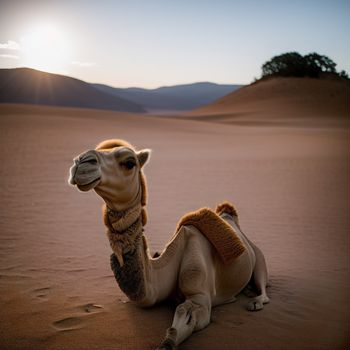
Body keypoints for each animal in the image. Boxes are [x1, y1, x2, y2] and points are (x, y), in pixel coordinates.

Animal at [69, 139, 270, 348]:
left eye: (129, 162)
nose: (81, 161)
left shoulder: (200, 296)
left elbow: (182, 312)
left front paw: (167, 343)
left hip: (259, 258)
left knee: (263, 286)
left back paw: (254, 301)